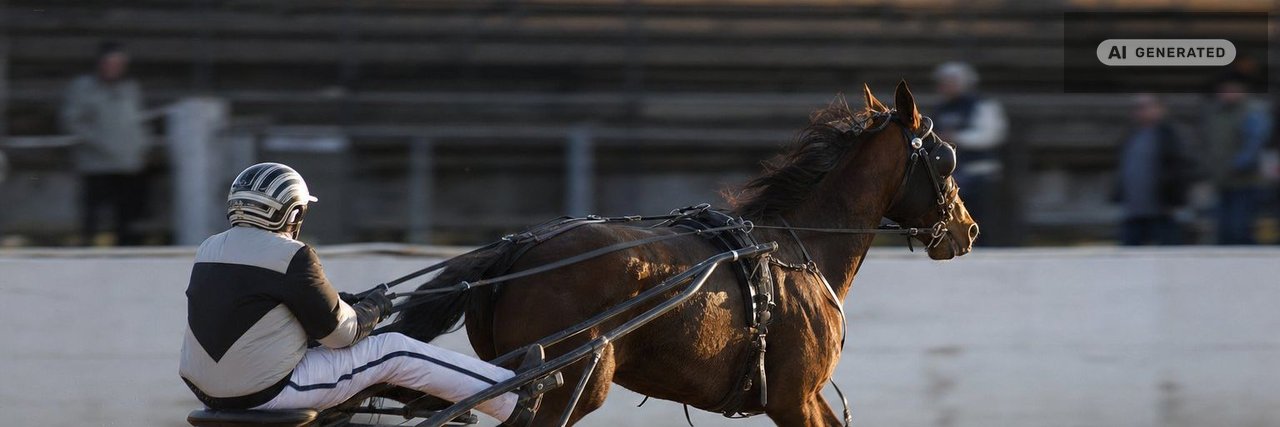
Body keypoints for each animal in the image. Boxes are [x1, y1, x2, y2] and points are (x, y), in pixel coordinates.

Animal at [393, 81, 978, 426]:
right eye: (946, 159)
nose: (967, 228)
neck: (797, 248)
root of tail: (517, 255)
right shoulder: (795, 396)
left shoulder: (799, 398)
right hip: (566, 386)